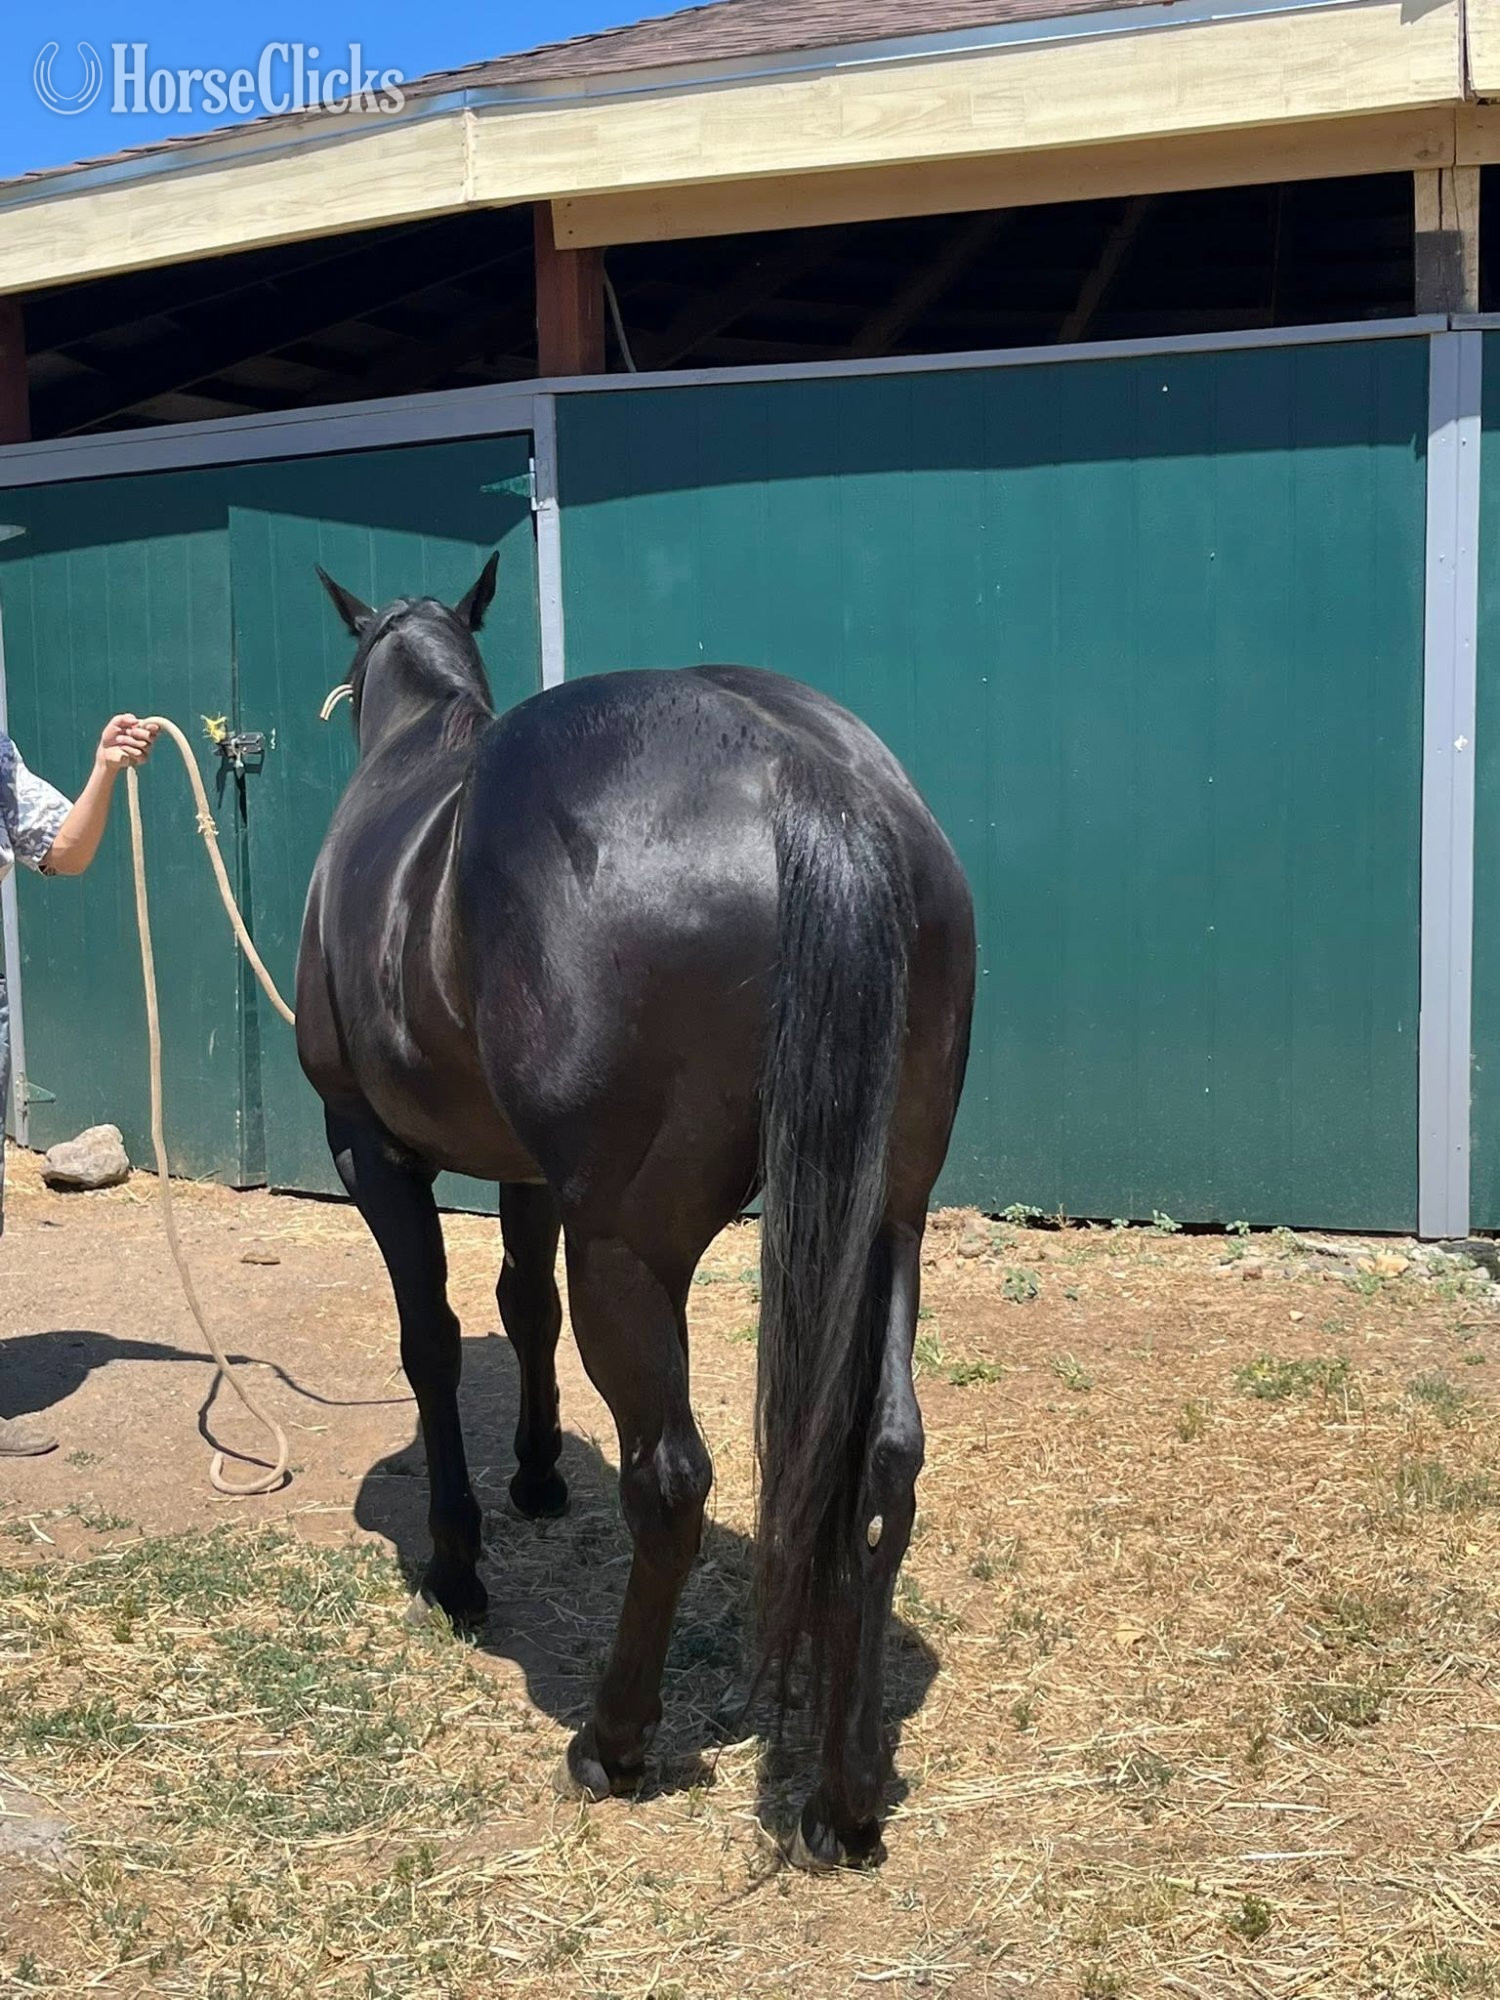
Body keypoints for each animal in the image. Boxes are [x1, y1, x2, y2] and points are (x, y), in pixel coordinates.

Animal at [299, 553, 976, 1869]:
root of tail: (810, 776)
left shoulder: (369, 1146)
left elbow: (430, 1341)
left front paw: (459, 1558)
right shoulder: (520, 1171)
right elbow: (521, 1306)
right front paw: (534, 1475)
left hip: (628, 1242)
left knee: (670, 1478)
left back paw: (610, 1741)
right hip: (889, 1225)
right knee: (881, 1465)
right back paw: (843, 1798)